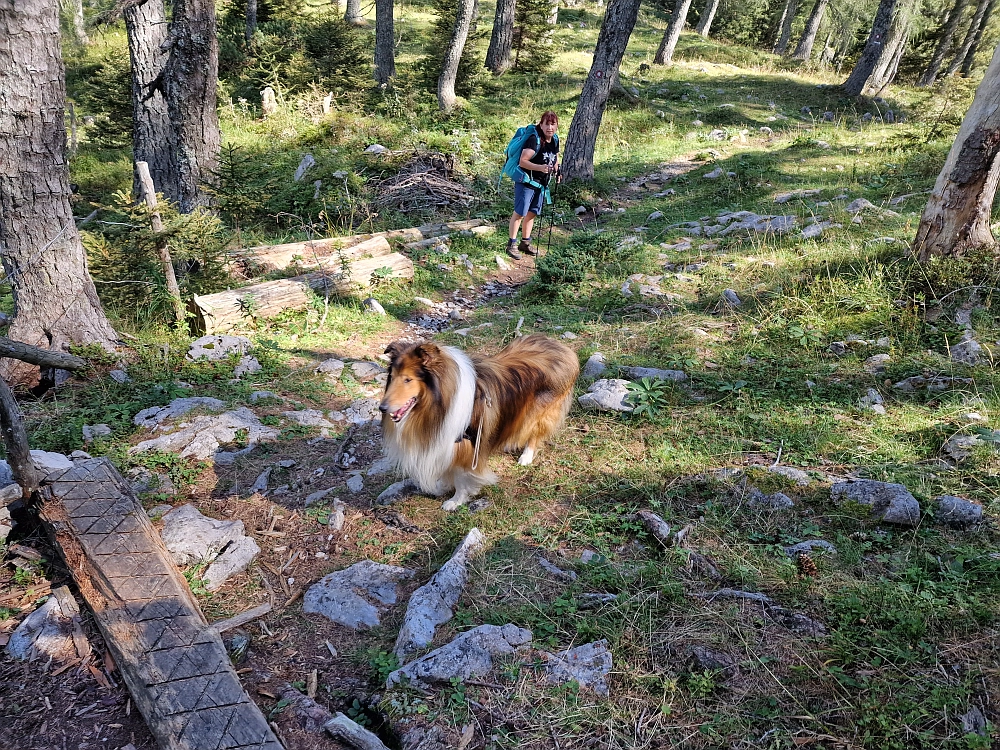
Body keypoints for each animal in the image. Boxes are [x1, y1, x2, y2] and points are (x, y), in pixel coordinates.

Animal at [378, 338, 580, 516]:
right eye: (392, 377)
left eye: (408, 380)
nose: (382, 408)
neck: (441, 400)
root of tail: (562, 348)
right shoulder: (445, 442)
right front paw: (442, 485)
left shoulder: (466, 445)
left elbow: (461, 478)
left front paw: (456, 501)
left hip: (541, 412)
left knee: (535, 434)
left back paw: (526, 457)